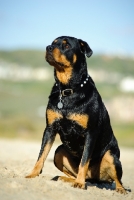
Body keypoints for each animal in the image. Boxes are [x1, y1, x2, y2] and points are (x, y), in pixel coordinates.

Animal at [25, 36, 126, 194]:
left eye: (66, 46)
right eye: (53, 43)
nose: (48, 47)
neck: (67, 89)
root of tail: (93, 179)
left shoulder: (90, 133)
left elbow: (84, 160)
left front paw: (79, 183)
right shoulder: (50, 128)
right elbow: (41, 155)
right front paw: (32, 174)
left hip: (111, 156)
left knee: (117, 179)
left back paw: (119, 189)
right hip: (59, 151)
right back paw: (65, 179)